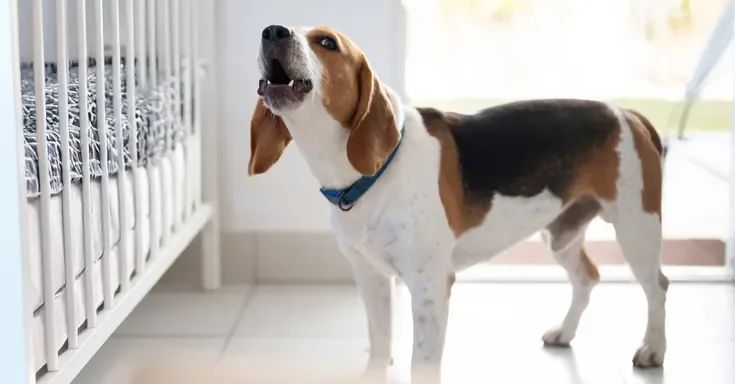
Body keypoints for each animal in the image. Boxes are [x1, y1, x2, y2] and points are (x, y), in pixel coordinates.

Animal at [250, 24, 668, 380]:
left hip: (636, 228)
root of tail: (627, 113)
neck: (370, 175)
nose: (272, 31)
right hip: (561, 234)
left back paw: (653, 350)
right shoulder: (371, 277)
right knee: (588, 277)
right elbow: (380, 344)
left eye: (328, 43)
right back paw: (565, 332)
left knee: (658, 286)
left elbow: (422, 363)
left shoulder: (430, 287)